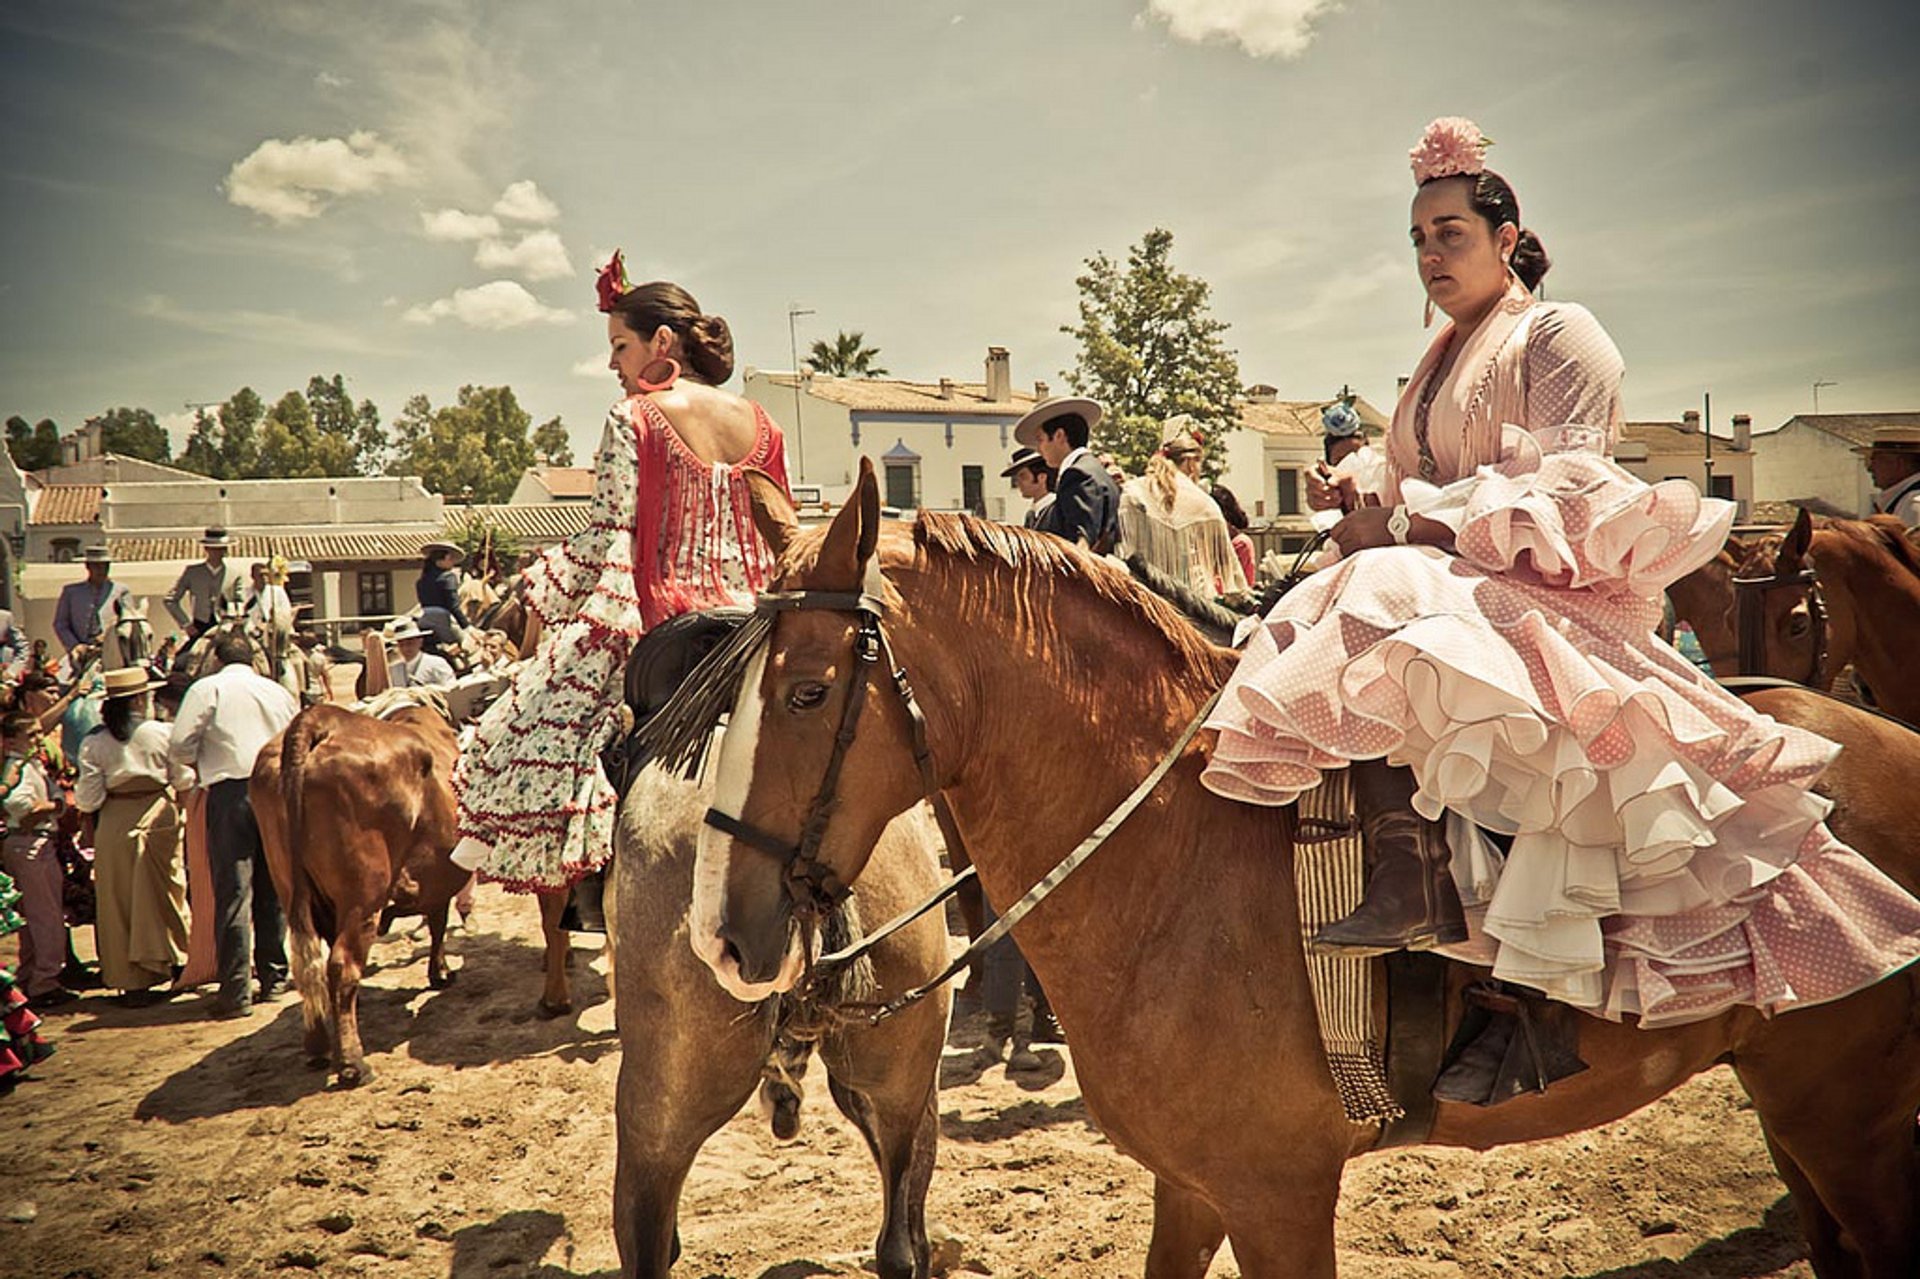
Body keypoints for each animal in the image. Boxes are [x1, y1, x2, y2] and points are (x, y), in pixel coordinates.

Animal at [695, 466, 1920, 1275]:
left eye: (807, 690)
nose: (724, 935)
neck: (1175, 859)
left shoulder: (1279, 1196)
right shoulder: (1192, 1187)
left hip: (1848, 1118)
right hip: (1792, 1104)